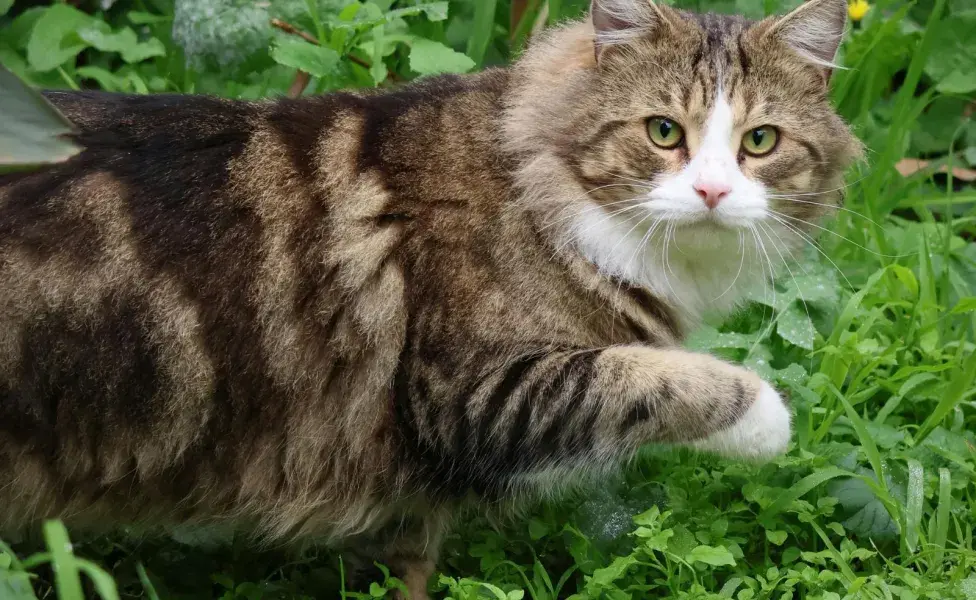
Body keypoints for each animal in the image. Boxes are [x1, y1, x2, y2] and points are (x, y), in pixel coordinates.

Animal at [0, 0, 856, 596]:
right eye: (663, 132)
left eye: (759, 143)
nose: (713, 191)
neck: (531, 185)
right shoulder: (475, 393)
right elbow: (651, 375)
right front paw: (769, 422)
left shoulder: (415, 490)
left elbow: (405, 565)